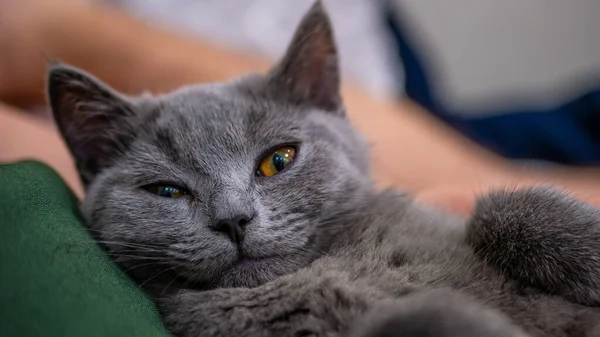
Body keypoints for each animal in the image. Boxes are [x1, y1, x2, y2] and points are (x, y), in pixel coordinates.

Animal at [47, 1, 600, 334]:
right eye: (167, 191)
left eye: (277, 161)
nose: (233, 219)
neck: (330, 266)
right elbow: (417, 316)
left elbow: (506, 208)